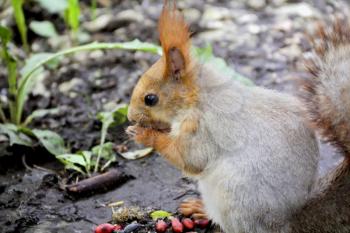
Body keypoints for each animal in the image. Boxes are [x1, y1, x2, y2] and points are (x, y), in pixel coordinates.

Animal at [126, 1, 350, 233]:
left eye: (150, 99)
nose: (130, 116)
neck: (199, 97)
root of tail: (289, 219)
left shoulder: (203, 128)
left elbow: (189, 158)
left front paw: (143, 134)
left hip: (233, 196)